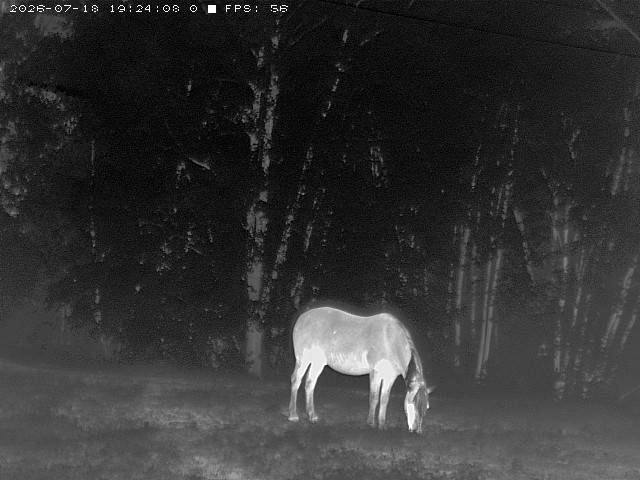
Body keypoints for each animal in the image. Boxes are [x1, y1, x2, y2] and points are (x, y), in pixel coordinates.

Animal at [288, 306, 434, 433]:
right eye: (413, 403)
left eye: (426, 407)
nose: (417, 430)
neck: (390, 341)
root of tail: (302, 317)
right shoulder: (375, 372)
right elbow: (374, 397)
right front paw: (370, 423)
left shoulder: (389, 376)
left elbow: (384, 399)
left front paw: (382, 425)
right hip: (303, 359)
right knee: (296, 380)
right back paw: (293, 415)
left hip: (318, 362)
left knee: (310, 383)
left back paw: (312, 416)